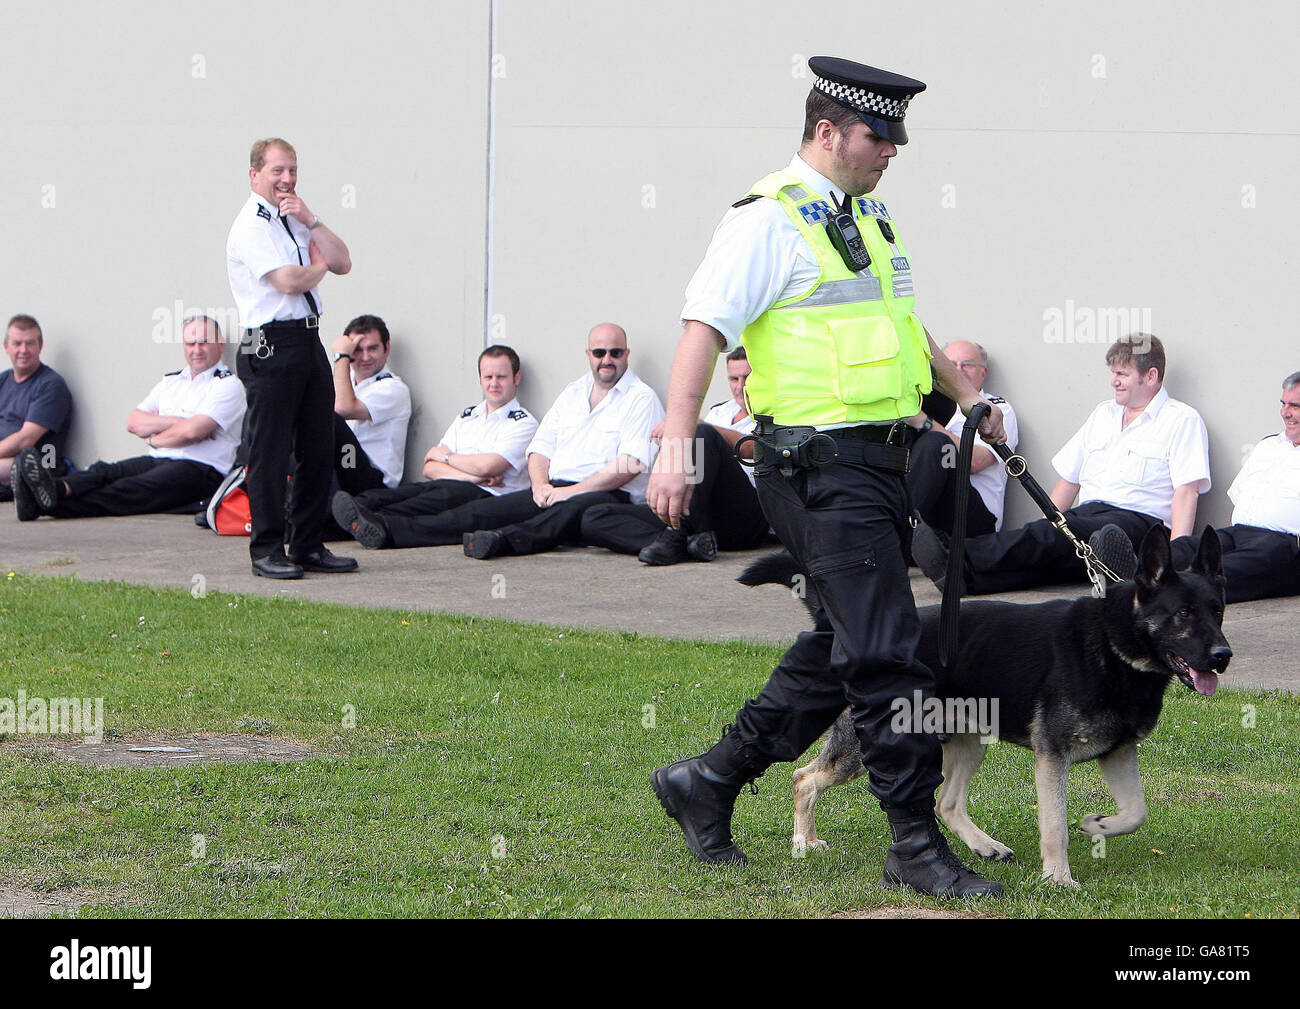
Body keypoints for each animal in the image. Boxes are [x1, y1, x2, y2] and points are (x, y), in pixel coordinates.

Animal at [743, 525, 1227, 889]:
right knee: (804, 778)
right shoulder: (1052, 757)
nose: (1223, 656)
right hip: (865, 749)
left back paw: (984, 846)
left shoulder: (1119, 752)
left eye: (1217, 611)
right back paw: (804, 843)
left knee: (946, 803)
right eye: (1183, 614)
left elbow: (1137, 812)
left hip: (970, 740)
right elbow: (1054, 824)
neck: (1114, 641)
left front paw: (1098, 826)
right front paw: (1058, 879)